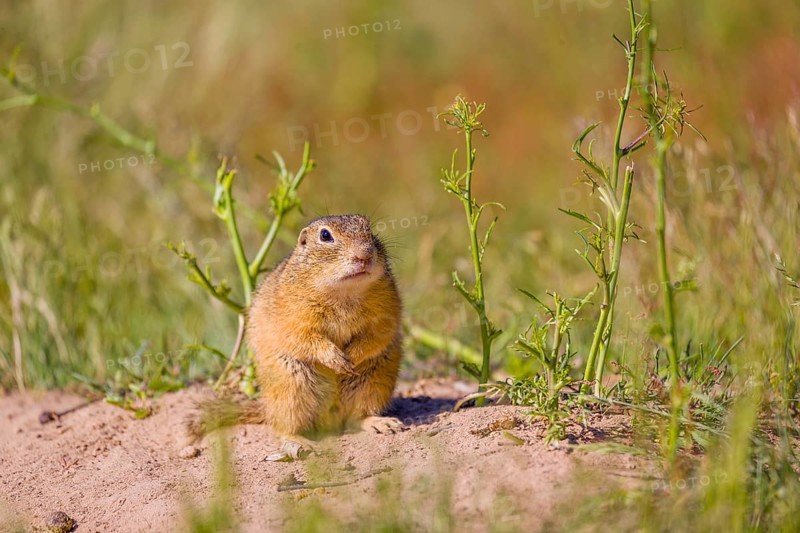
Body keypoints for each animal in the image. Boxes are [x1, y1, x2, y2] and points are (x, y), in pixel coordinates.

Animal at [186, 214, 404, 460]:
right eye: (325, 235)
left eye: (369, 229)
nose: (364, 255)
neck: (344, 292)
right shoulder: (294, 316)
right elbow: (305, 338)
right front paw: (336, 359)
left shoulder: (386, 309)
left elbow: (377, 335)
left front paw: (353, 357)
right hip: (291, 391)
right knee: (282, 427)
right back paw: (301, 442)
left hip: (374, 384)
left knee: (357, 418)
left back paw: (382, 423)